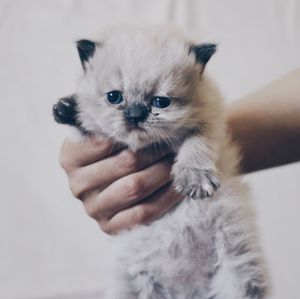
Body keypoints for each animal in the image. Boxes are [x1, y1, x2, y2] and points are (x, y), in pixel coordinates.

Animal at [52, 25, 268, 299]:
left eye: (160, 102)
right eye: (114, 97)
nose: (135, 114)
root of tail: (188, 291)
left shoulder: (210, 124)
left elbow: (197, 143)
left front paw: (194, 177)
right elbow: (86, 124)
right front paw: (68, 108)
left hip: (238, 265)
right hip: (129, 284)